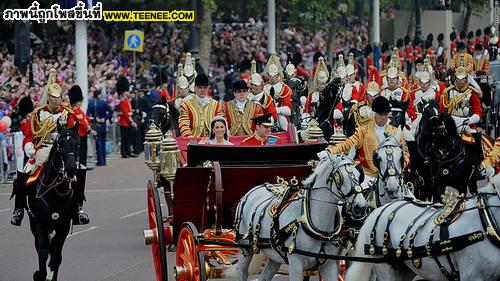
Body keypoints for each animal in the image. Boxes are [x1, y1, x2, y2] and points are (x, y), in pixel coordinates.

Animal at [28, 121, 80, 278]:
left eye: (78, 143)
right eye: (60, 144)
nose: (71, 169)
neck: (57, 192)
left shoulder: (63, 226)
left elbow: (56, 257)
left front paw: (50, 274)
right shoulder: (39, 223)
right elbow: (43, 252)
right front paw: (40, 274)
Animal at [233, 152, 368, 278]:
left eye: (358, 175)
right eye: (339, 176)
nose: (361, 207)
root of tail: (253, 189)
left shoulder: (329, 265)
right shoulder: (295, 264)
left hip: (274, 256)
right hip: (246, 249)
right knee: (242, 271)